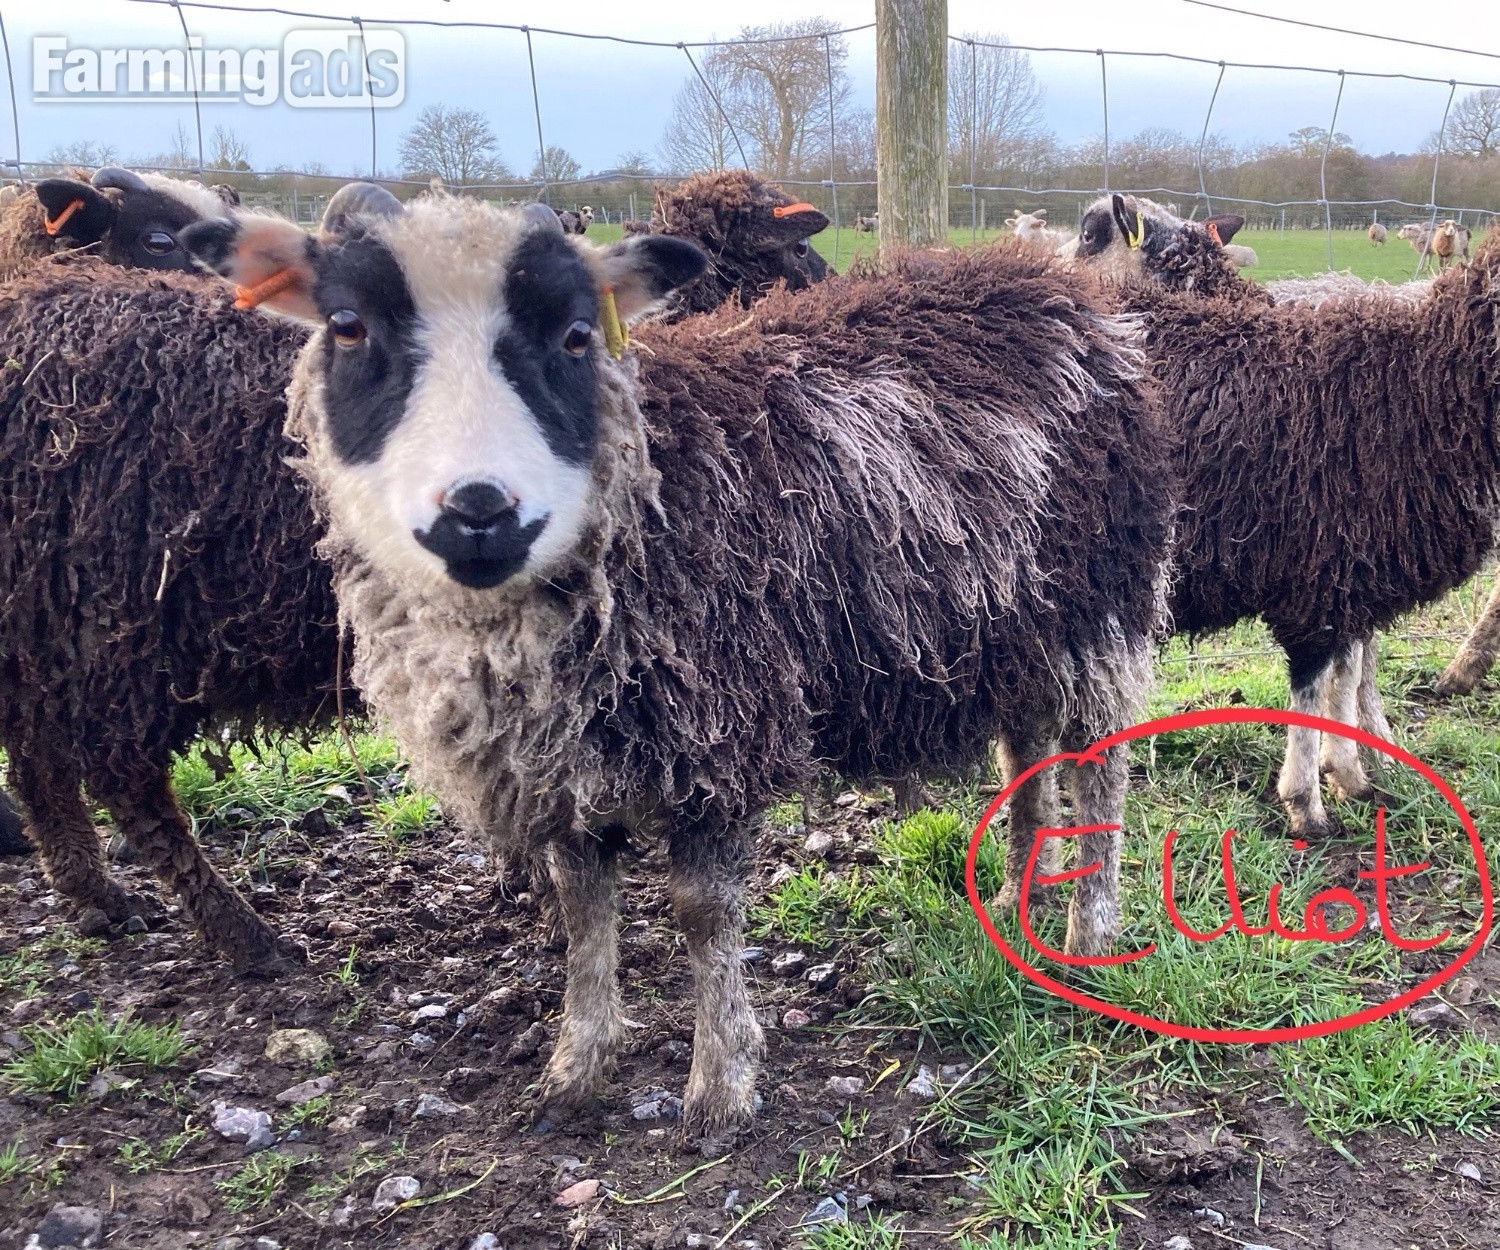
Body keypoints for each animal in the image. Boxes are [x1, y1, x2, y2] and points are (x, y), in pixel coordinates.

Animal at [182, 193, 1174, 1134]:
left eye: (576, 334)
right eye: (348, 326)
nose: (479, 509)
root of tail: (1059, 293)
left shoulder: (718, 731)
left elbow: (702, 913)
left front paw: (721, 1086)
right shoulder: (559, 763)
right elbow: (584, 911)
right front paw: (576, 1069)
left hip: (1100, 607)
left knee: (1102, 765)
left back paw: (1089, 937)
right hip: (1013, 622)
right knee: (1025, 748)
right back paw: (1012, 897)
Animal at [1070, 193, 1500, 835]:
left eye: (1089, 237)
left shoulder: (1351, 573)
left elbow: (1346, 675)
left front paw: (1351, 773)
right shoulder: (1315, 576)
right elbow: (1315, 681)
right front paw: (1309, 803)